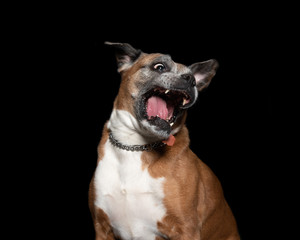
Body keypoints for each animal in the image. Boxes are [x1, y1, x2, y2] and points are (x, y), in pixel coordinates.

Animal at [88, 42, 240, 239]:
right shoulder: (102, 228)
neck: (135, 146)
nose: (190, 80)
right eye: (159, 67)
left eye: (193, 79)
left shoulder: (186, 230)